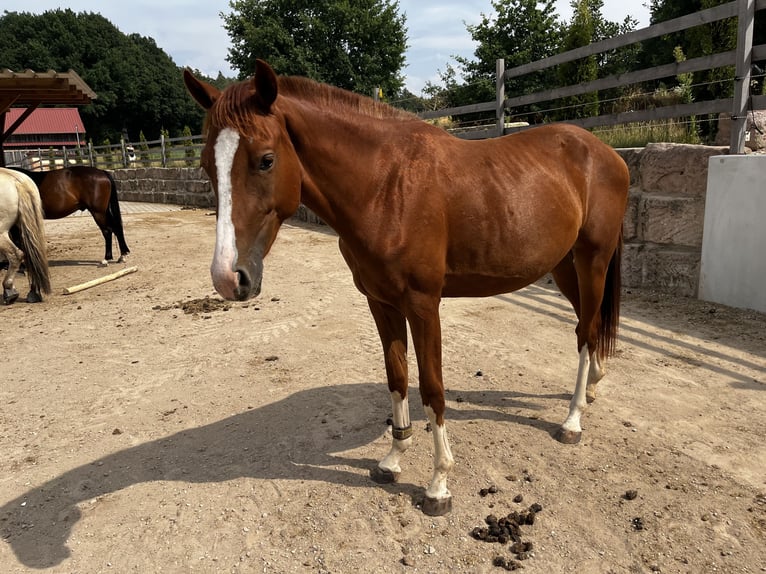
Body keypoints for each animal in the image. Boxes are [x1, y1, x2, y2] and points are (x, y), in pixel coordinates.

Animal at [183, 60, 630, 516]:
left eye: (266, 160)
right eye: (206, 165)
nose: (228, 277)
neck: (385, 187)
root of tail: (606, 153)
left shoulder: (423, 305)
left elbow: (432, 388)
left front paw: (438, 484)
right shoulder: (381, 303)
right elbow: (396, 376)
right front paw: (393, 459)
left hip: (592, 259)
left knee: (586, 331)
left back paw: (572, 419)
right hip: (563, 265)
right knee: (588, 325)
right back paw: (593, 386)